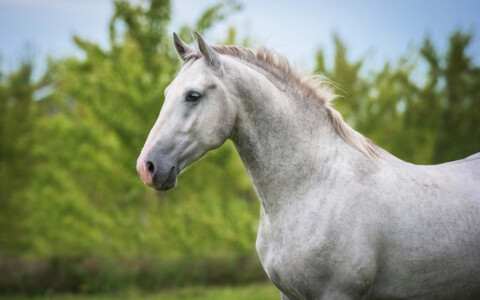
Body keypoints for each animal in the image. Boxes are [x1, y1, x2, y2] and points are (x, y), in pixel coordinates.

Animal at [135, 31, 480, 298]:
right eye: (167, 93)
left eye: (192, 96)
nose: (146, 167)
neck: (313, 187)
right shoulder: (288, 294)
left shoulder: (337, 293)